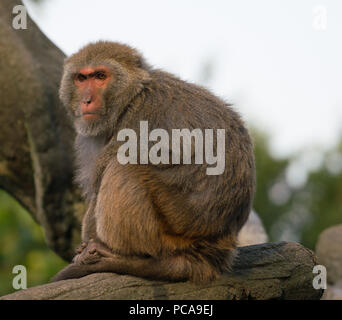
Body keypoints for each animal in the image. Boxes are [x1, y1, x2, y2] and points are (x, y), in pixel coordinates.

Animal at [52, 41, 255, 284]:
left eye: (100, 76)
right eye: (81, 78)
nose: (86, 100)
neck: (132, 97)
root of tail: (212, 252)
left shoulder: (138, 119)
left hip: (171, 233)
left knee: (124, 166)